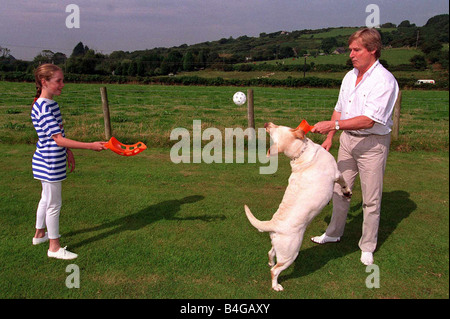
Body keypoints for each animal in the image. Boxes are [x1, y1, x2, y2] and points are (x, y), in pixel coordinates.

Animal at [244, 121, 350, 292]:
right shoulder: (336, 173)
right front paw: (347, 192)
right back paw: (276, 286)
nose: (266, 124)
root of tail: (272, 224)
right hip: (290, 252)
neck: (299, 154)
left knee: (270, 253)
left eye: (276, 129)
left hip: (278, 245)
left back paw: (270, 261)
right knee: (275, 271)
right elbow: (343, 182)